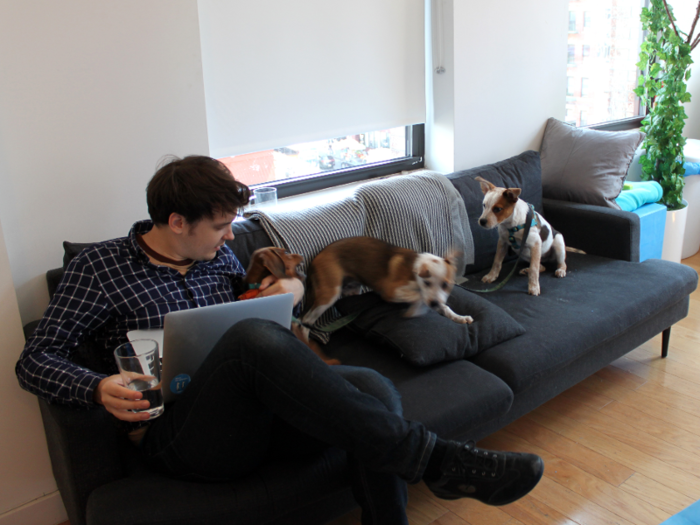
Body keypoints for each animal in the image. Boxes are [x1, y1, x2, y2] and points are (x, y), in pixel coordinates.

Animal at [296, 235, 470, 338]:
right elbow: (419, 296)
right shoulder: (390, 291)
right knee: (305, 321)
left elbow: (445, 307)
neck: (414, 273)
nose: (434, 304)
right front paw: (414, 310)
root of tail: (315, 258)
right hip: (329, 293)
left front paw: (459, 317)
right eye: (427, 283)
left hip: (352, 290)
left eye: (446, 285)